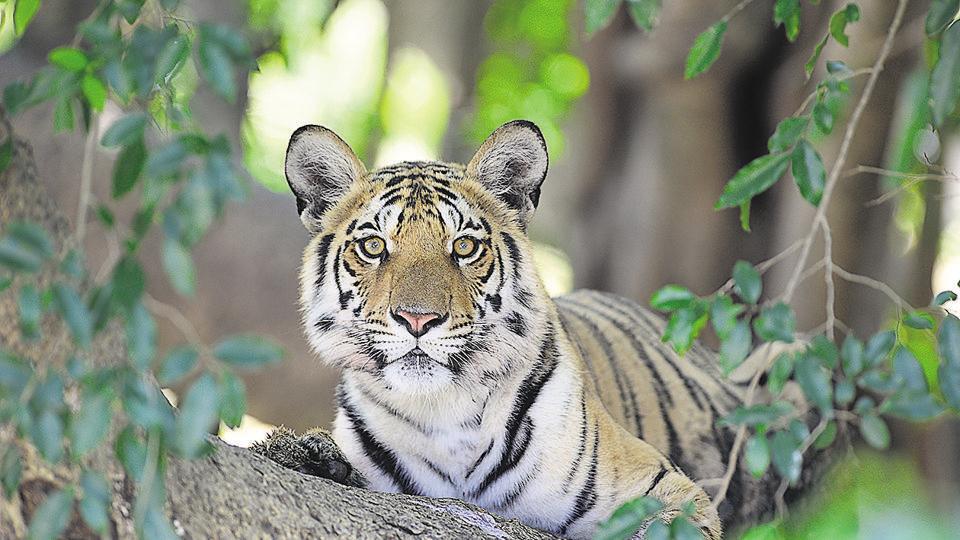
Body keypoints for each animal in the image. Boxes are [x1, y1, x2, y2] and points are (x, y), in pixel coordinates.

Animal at [254, 120, 792, 539]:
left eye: (464, 246)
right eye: (373, 247)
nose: (417, 320)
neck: (442, 412)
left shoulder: (663, 485)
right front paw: (303, 454)